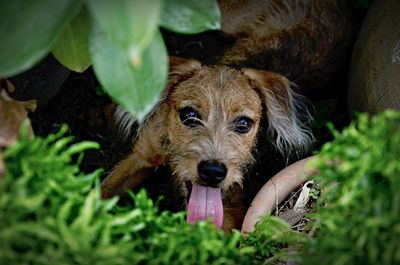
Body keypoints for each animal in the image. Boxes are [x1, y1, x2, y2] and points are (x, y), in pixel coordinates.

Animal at [99, 0, 354, 231]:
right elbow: (101, 190)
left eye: (243, 123)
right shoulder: (140, 156)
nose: (213, 172)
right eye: (189, 114)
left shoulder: (233, 212)